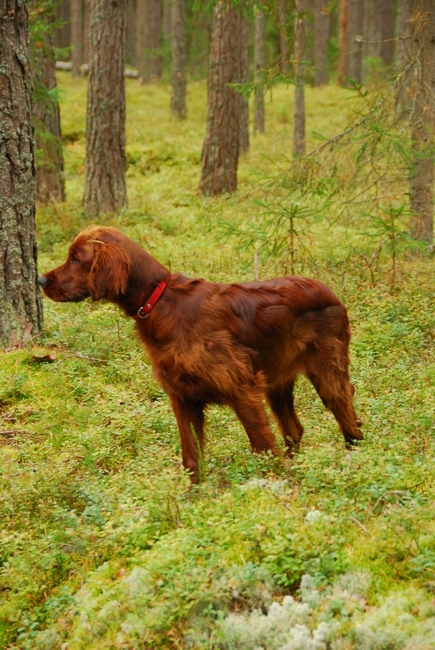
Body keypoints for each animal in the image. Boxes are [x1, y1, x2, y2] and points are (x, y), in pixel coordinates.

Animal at [39, 227, 362, 480]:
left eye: (76, 258)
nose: (40, 280)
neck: (159, 301)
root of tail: (330, 291)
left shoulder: (242, 389)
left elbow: (261, 446)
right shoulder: (182, 398)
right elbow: (191, 458)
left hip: (327, 373)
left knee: (349, 419)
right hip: (278, 382)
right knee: (295, 429)